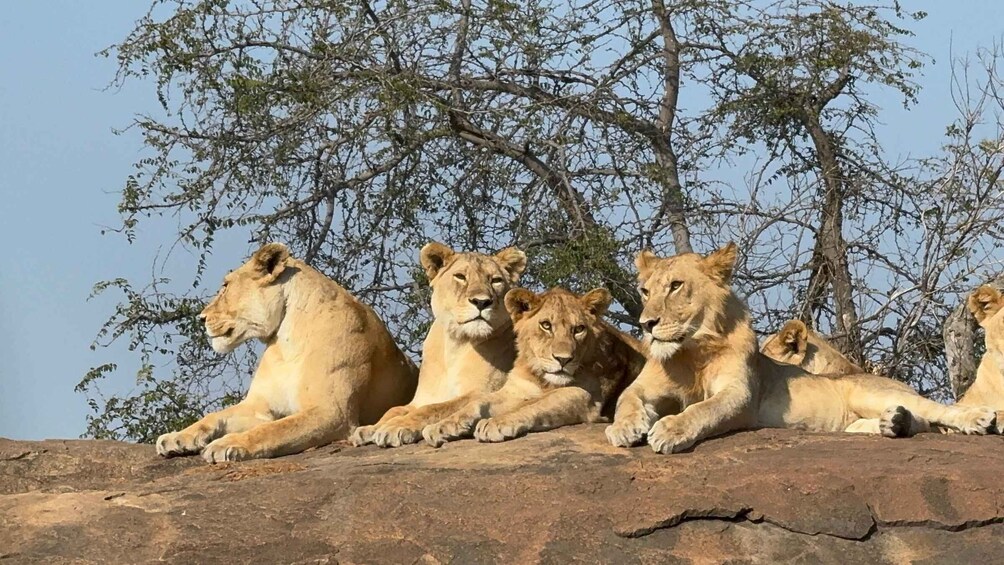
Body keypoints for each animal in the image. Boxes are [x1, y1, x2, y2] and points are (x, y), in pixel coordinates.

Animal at [155, 243, 419, 463]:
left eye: (226, 286)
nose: (201, 318)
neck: (286, 343)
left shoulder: (332, 412)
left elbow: (271, 430)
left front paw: (228, 443)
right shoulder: (260, 406)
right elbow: (215, 416)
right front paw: (177, 437)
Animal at [349, 242, 527, 448]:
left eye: (496, 280)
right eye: (460, 276)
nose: (481, 302)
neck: (456, 343)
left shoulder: (484, 391)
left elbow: (434, 409)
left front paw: (395, 427)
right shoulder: (422, 398)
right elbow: (394, 409)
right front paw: (370, 428)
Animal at [420, 287, 645, 447]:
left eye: (579, 329)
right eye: (546, 325)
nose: (563, 359)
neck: (542, 378)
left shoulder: (585, 396)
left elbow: (537, 405)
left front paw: (497, 423)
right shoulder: (515, 390)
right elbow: (477, 403)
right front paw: (441, 426)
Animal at [605, 243, 996, 454]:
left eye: (675, 286)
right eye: (644, 290)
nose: (646, 324)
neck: (692, 350)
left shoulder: (740, 394)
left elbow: (703, 410)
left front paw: (669, 430)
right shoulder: (645, 386)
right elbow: (626, 399)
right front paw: (625, 428)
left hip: (871, 393)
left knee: (938, 412)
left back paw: (979, 419)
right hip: (852, 422)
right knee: (911, 423)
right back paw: (894, 423)